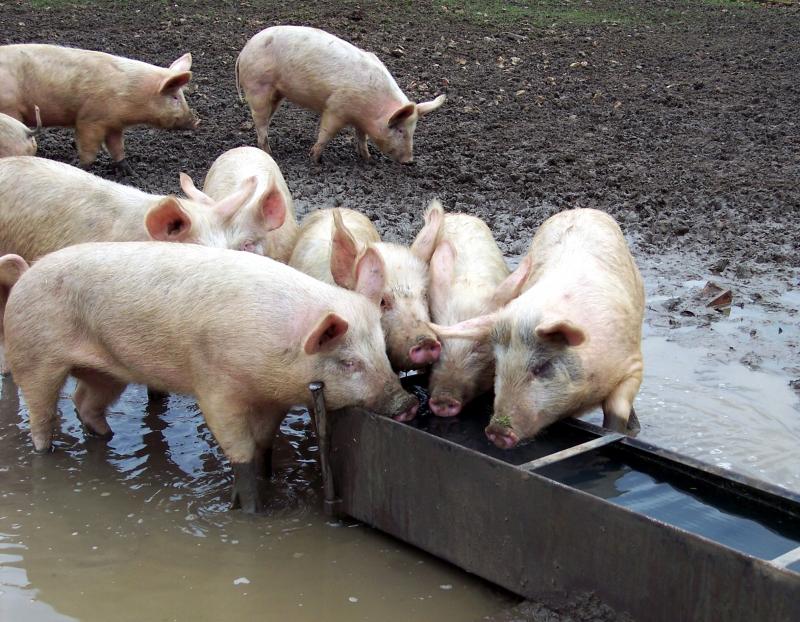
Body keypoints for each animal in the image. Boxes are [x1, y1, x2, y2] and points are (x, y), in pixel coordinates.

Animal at [0, 44, 199, 173]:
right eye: (174, 97)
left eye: (182, 96)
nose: (196, 121)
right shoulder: (90, 120)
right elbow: (88, 149)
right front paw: (78, 166)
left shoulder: (114, 124)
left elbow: (117, 147)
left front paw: (130, 172)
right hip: (11, 108)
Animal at [3, 241, 418, 516]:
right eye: (347, 362)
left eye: (381, 350)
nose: (408, 403)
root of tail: (26, 273)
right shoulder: (215, 386)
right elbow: (240, 448)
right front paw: (249, 511)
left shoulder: (274, 399)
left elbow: (263, 441)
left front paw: (264, 482)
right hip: (34, 356)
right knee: (42, 413)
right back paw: (47, 455)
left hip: (107, 371)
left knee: (84, 402)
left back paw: (105, 439)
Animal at [236, 25, 450, 165]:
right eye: (399, 130)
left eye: (413, 130)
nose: (410, 161)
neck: (371, 109)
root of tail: (245, 49)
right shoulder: (335, 108)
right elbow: (326, 133)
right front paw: (314, 159)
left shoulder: (360, 120)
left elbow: (361, 137)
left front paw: (368, 159)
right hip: (257, 86)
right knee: (260, 121)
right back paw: (270, 154)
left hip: (276, 93)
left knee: (265, 120)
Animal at [432, 210, 644, 448]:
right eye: (499, 364)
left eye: (541, 367)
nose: (497, 430)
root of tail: (577, 210)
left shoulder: (633, 364)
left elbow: (615, 415)